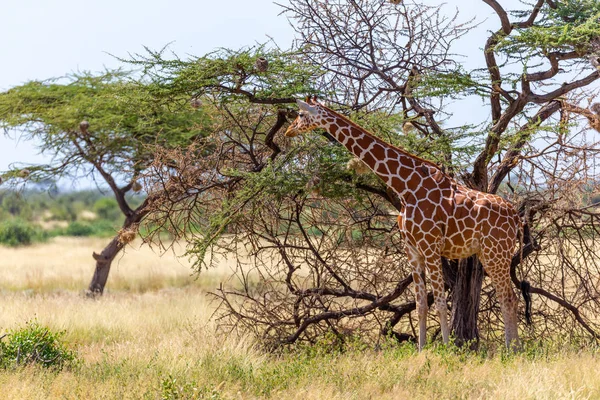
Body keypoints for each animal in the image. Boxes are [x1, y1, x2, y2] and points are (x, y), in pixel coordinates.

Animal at [286, 97, 524, 350]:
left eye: (300, 114)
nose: (289, 130)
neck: (405, 187)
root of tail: (516, 216)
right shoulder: (412, 250)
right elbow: (421, 304)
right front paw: (421, 350)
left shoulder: (431, 247)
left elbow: (441, 302)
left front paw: (447, 350)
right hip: (489, 253)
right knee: (507, 296)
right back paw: (513, 347)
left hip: (496, 252)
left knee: (509, 297)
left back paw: (512, 349)